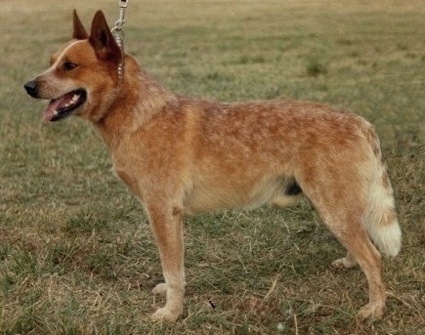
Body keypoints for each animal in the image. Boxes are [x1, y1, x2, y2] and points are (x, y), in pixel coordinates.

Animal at [24, 10, 400, 322]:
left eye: (70, 66)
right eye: (52, 62)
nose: (28, 86)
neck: (139, 115)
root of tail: (359, 122)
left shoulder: (162, 211)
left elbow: (172, 269)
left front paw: (171, 313)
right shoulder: (170, 217)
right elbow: (174, 269)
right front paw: (170, 298)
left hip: (332, 206)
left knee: (373, 256)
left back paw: (374, 309)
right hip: (337, 206)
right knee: (361, 241)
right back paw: (350, 263)